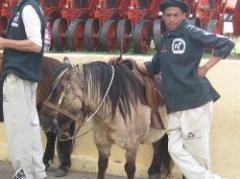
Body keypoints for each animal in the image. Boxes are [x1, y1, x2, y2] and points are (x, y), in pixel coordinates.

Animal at [40, 60, 173, 179]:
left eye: (60, 88)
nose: (43, 120)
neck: (115, 107)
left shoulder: (132, 146)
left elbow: (130, 169)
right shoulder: (102, 144)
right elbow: (102, 166)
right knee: (158, 145)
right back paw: (154, 171)